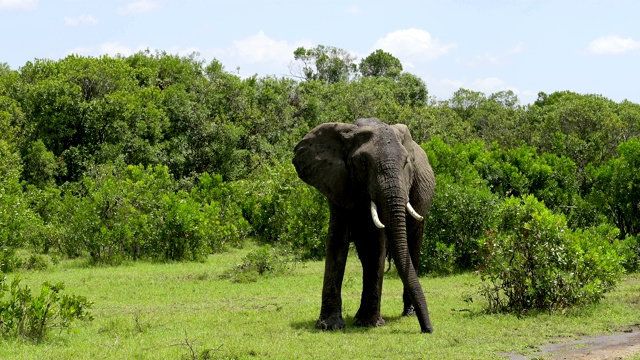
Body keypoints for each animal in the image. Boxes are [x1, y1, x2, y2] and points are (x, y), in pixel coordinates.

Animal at [294, 116, 436, 334]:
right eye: (363, 162)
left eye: (406, 163)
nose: (428, 329)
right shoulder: (337, 181)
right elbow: (336, 241)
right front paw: (329, 326)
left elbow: (376, 245)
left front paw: (369, 323)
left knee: (412, 248)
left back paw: (408, 313)